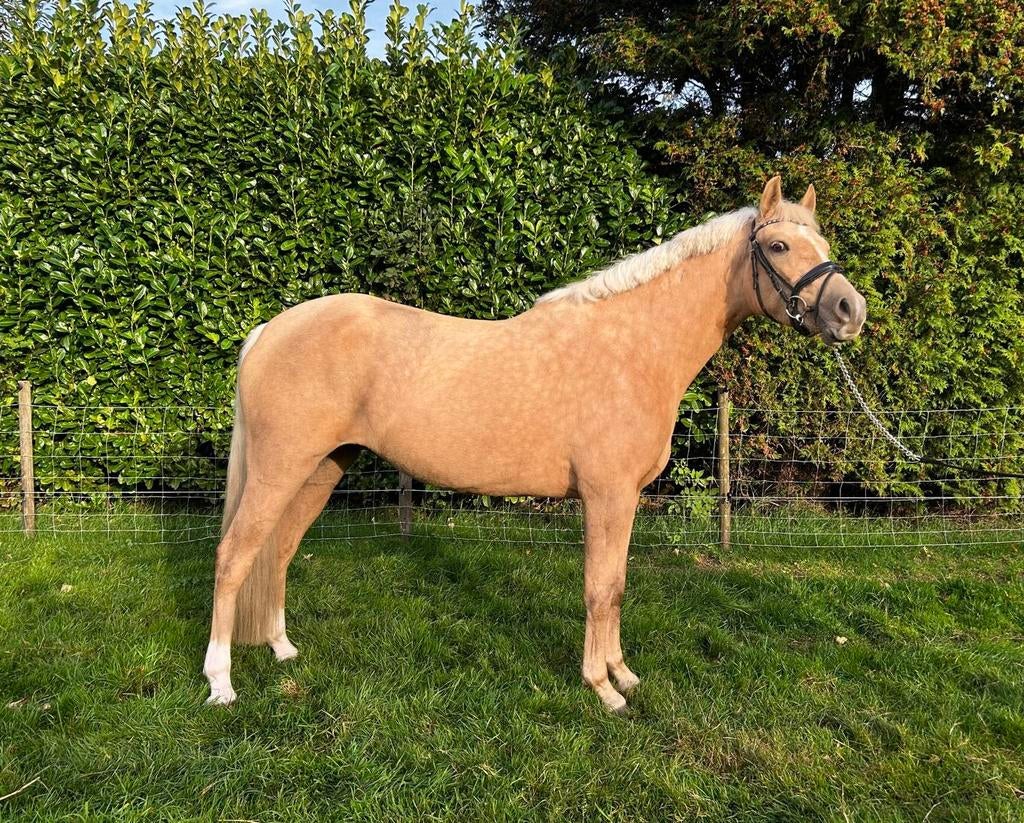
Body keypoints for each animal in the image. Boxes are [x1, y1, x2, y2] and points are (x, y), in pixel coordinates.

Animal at [203, 176, 867, 714]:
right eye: (778, 247)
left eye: (822, 245)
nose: (850, 310)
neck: (631, 348)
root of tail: (268, 330)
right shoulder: (606, 496)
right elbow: (600, 589)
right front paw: (602, 689)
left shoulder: (623, 501)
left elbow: (617, 587)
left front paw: (623, 675)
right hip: (280, 469)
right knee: (234, 556)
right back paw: (221, 683)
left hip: (320, 469)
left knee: (278, 552)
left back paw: (283, 649)